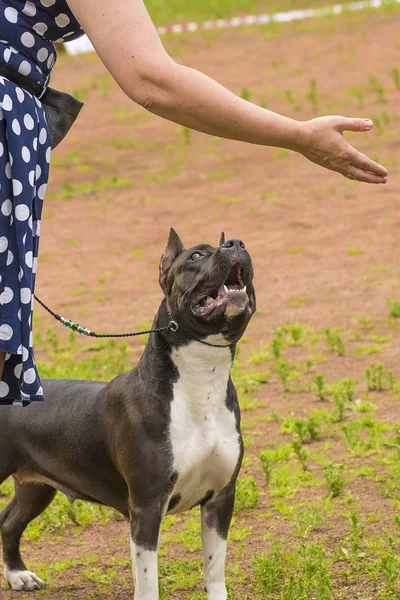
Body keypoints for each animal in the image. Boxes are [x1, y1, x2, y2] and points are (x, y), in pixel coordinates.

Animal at [0, 230, 256, 600]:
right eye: (195, 256)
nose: (236, 243)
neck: (201, 379)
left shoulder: (220, 499)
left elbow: (214, 569)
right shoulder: (147, 507)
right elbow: (148, 580)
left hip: (36, 485)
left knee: (10, 520)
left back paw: (18, 575)